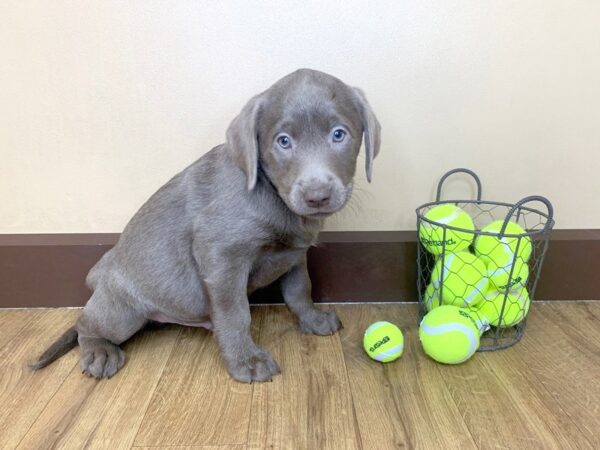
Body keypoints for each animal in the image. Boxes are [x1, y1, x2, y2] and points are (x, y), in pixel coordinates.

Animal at [31, 67, 380, 384]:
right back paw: (100, 352)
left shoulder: (294, 254)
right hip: (121, 312)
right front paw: (246, 361)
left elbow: (299, 289)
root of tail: (101, 273)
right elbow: (235, 313)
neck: (273, 197)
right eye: (283, 142)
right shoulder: (221, 257)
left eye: (339, 134)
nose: (317, 196)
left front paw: (313, 319)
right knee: (86, 326)